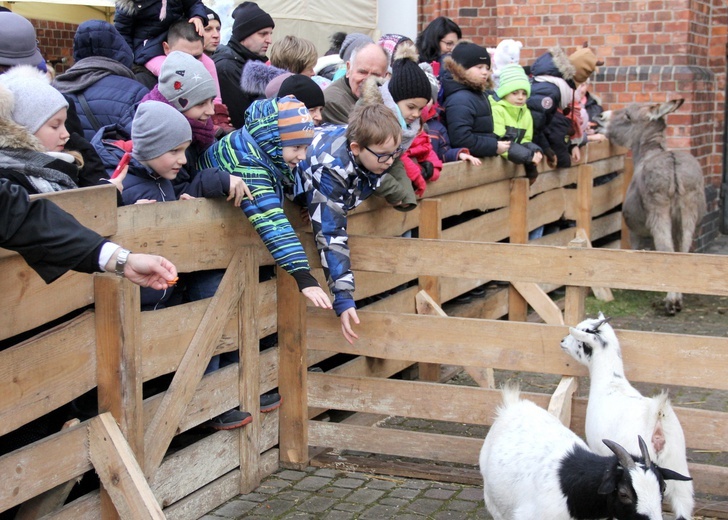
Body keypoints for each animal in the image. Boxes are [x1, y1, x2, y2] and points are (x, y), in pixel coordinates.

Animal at [596, 99, 704, 314]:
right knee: (683, 252)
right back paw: (677, 298)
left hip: (658, 211)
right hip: (689, 211)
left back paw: (671, 302)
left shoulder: (634, 230)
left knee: (666, 250)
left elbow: (636, 251)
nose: (601, 116)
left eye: (628, 116)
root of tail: (673, 163)